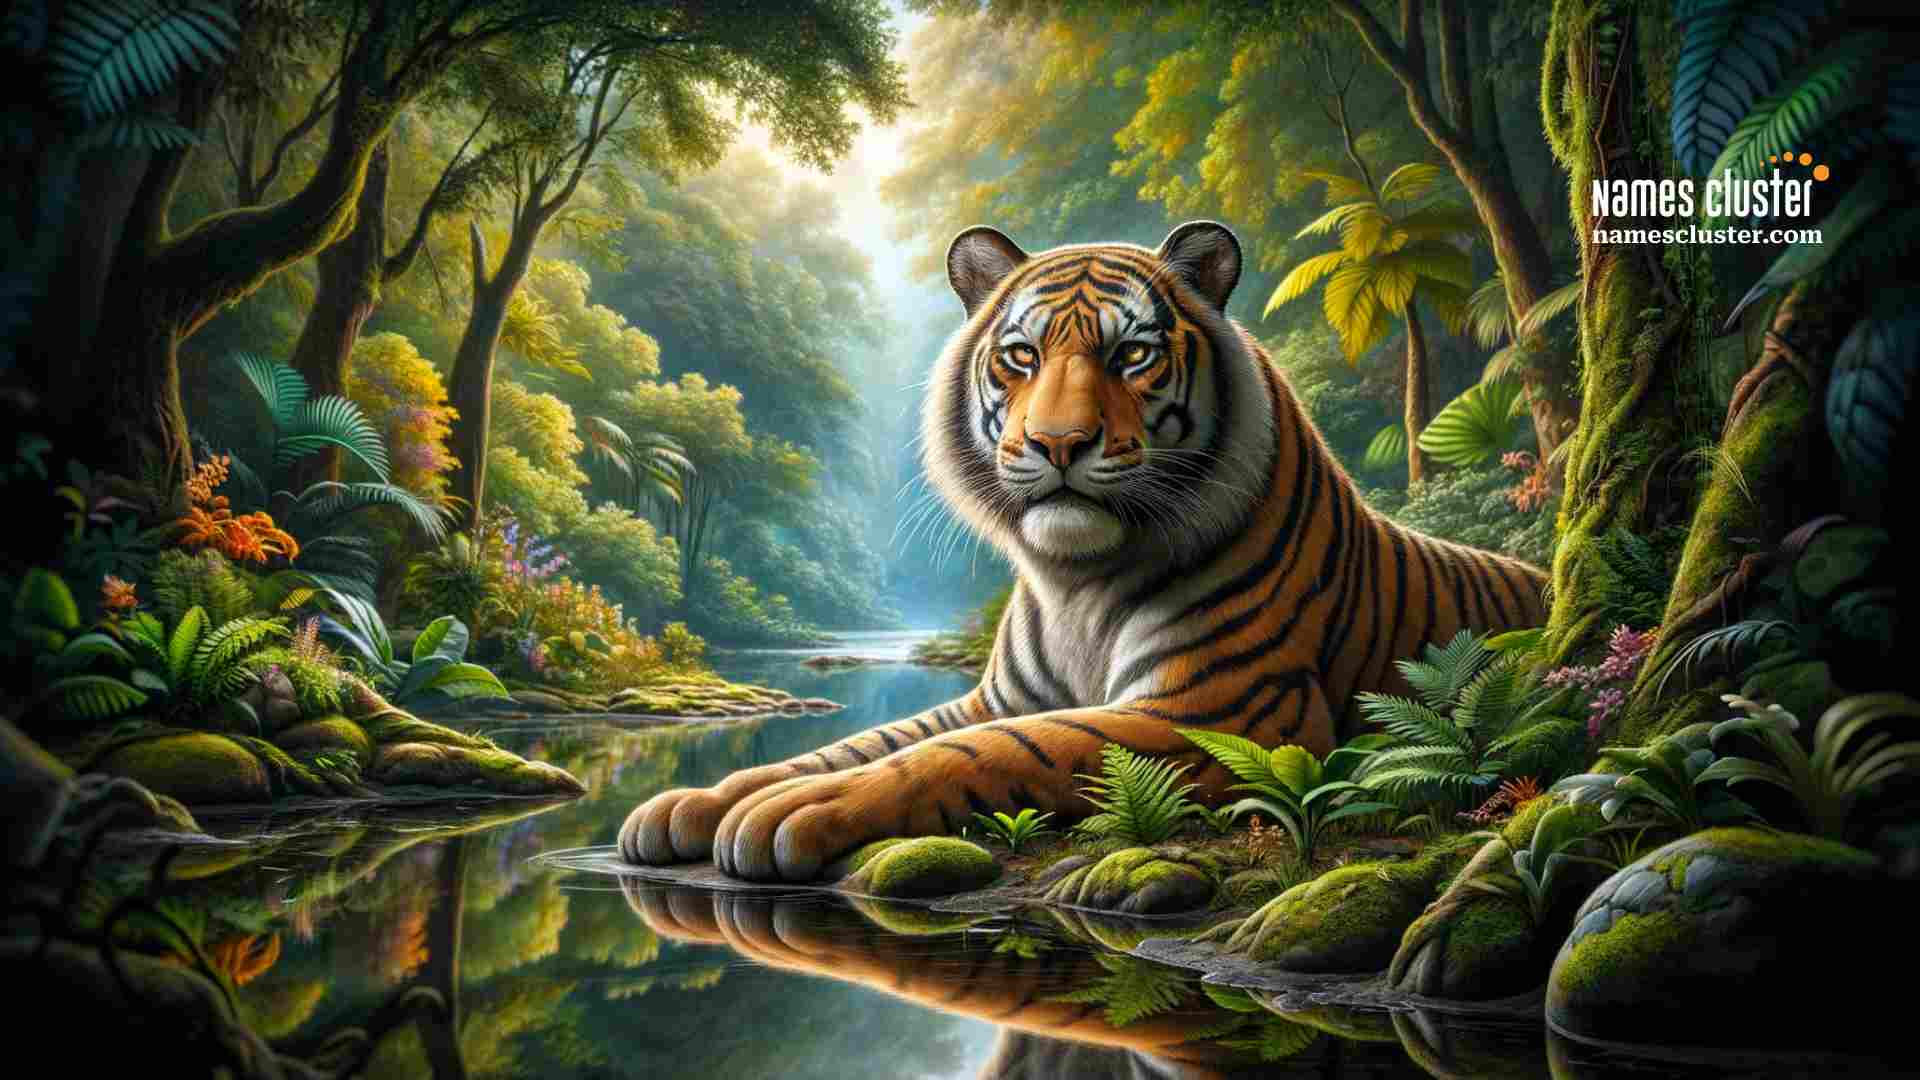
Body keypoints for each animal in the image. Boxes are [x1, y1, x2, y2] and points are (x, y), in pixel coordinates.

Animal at [620, 220, 1548, 882]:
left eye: (1131, 354)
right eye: (1021, 356)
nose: (1059, 442)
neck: (1076, 581)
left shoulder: (1220, 712)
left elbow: (971, 755)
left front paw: (790, 812)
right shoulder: (995, 697)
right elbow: (857, 740)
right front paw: (693, 803)